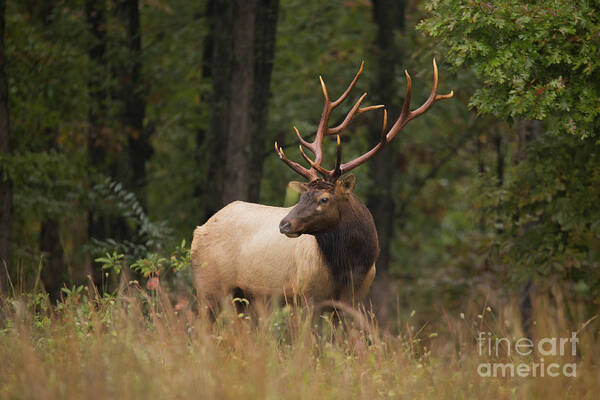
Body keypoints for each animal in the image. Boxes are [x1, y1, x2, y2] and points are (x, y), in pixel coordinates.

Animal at [191, 58, 450, 304]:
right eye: (302, 196)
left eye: (324, 199)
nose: (284, 224)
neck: (351, 267)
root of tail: (199, 229)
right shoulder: (305, 294)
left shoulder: (357, 296)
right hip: (210, 288)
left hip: (242, 297)